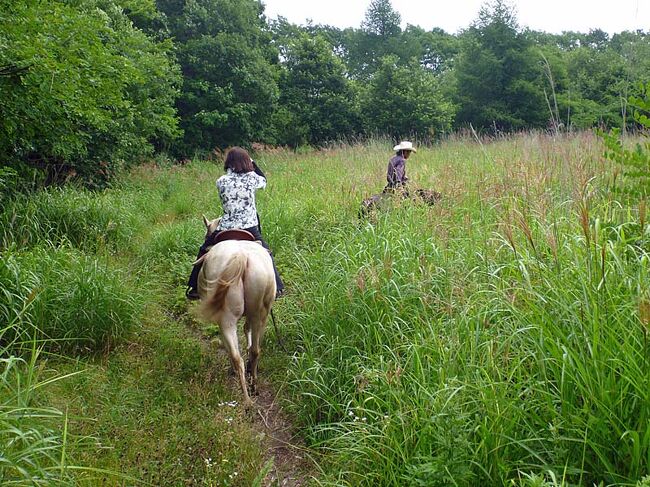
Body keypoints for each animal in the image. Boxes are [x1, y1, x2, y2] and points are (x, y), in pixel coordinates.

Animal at [192, 216, 274, 408]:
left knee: (237, 357)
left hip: (226, 319)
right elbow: (247, 331)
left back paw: (246, 400)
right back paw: (253, 385)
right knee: (255, 350)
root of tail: (241, 256)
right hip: (261, 314)